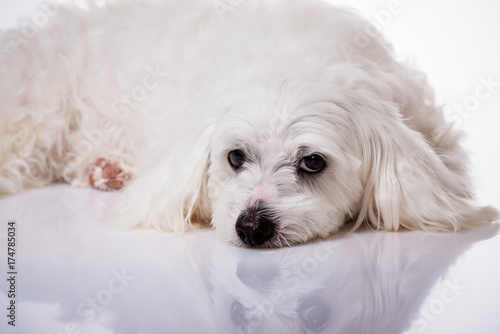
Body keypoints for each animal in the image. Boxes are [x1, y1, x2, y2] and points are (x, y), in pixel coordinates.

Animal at [0, 0, 498, 248]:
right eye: (235, 157)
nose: (252, 228)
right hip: (37, 110)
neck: (293, 59)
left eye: (313, 162)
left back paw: (105, 168)